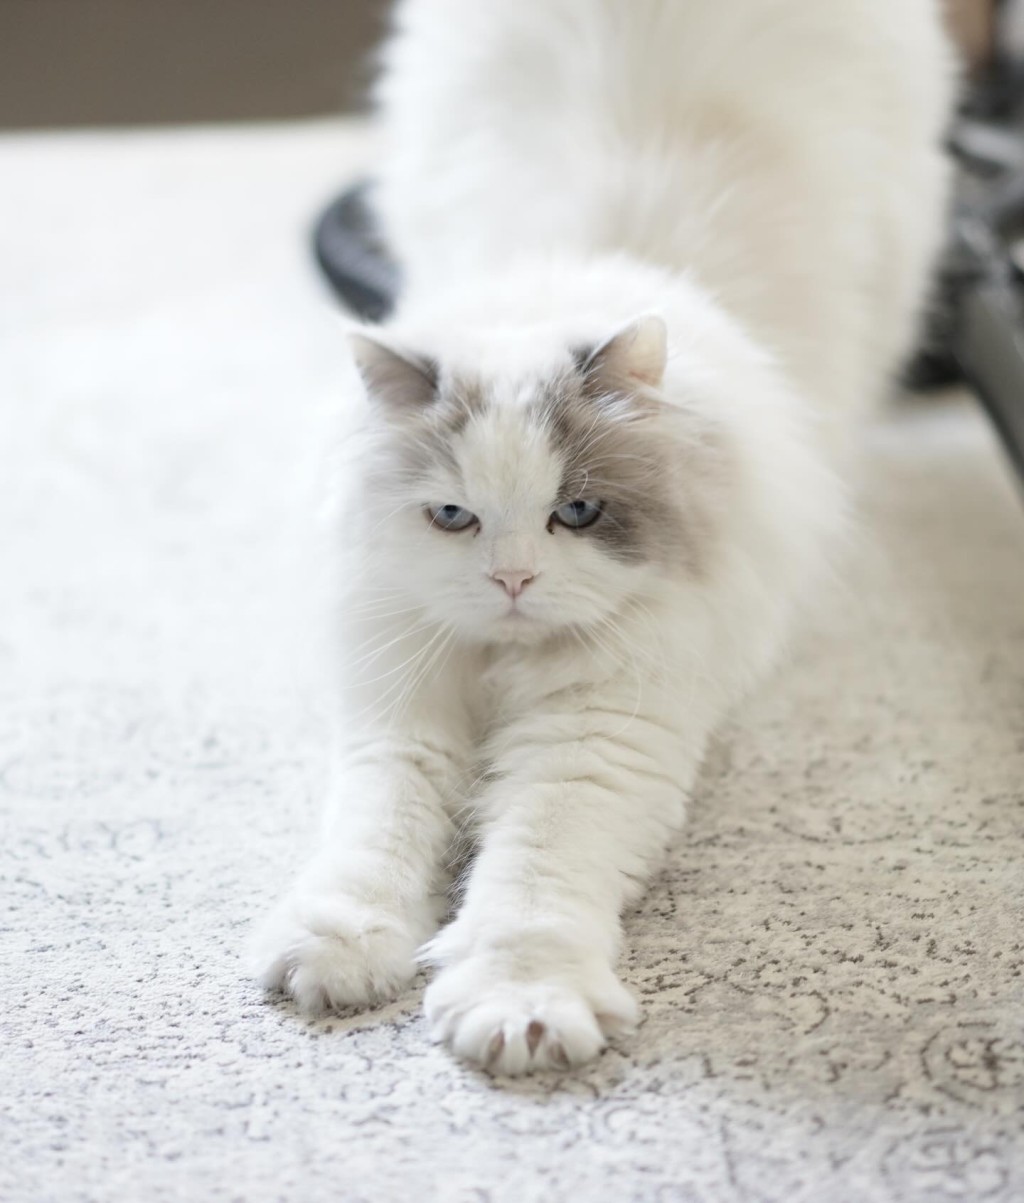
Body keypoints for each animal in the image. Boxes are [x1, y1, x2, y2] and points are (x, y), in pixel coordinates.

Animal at [252, 0, 957, 1073]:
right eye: (454, 516)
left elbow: (531, 881)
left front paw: (519, 1012)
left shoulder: (596, 736)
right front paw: (335, 954)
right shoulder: (402, 711)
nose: (511, 580)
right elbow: (375, 839)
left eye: (576, 513)